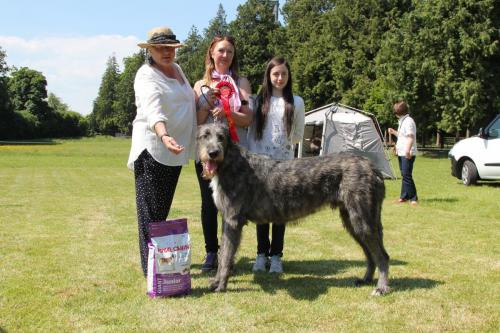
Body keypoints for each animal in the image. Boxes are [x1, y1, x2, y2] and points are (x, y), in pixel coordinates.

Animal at [196, 123, 390, 294]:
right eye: (205, 135)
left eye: (221, 137)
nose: (213, 153)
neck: (230, 162)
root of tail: (373, 168)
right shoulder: (227, 220)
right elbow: (223, 253)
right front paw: (216, 282)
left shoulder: (233, 220)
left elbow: (226, 256)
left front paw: (221, 285)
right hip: (352, 220)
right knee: (370, 254)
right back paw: (366, 279)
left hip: (362, 218)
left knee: (382, 256)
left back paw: (381, 287)